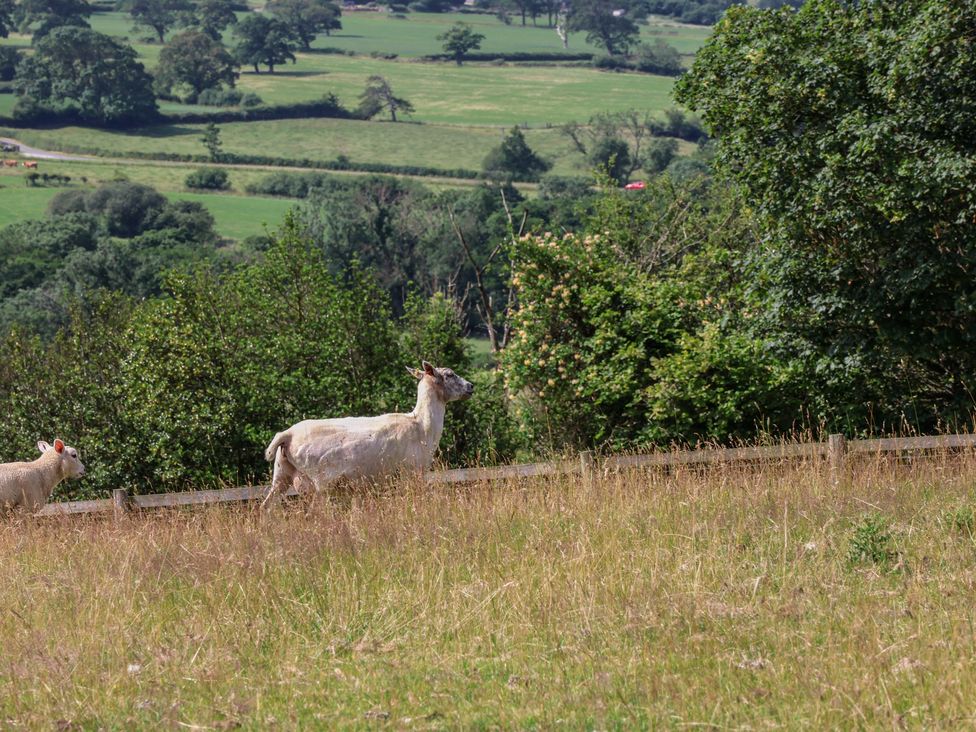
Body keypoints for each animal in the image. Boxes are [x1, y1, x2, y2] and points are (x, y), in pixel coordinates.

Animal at [261, 361, 474, 508]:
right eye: (450, 374)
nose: (471, 386)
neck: (421, 425)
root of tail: (287, 434)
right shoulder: (411, 472)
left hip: (281, 473)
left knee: (266, 507)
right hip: (319, 480)